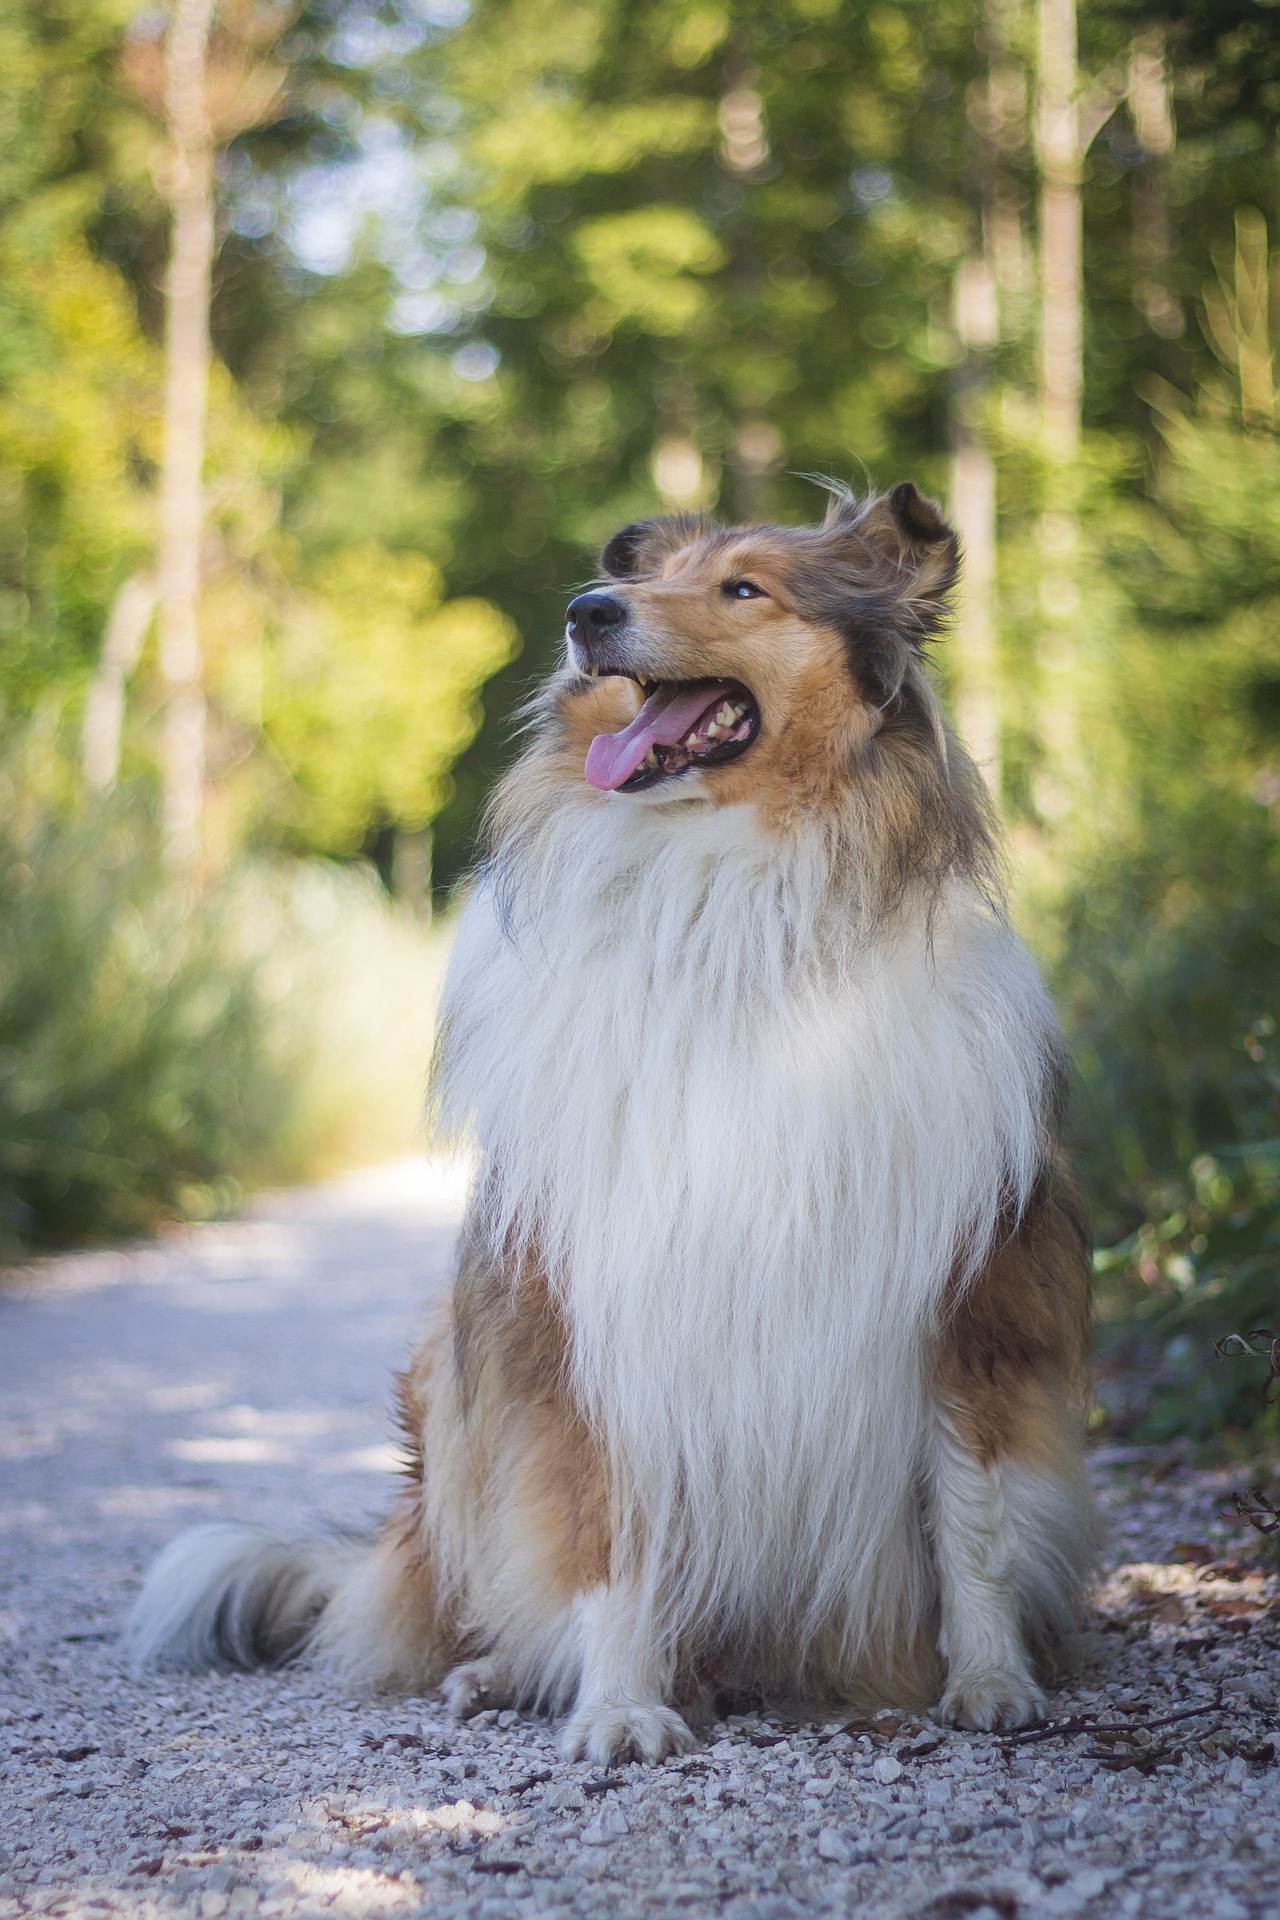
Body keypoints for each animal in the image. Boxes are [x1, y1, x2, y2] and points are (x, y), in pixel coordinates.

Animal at [130, 480, 1105, 1758]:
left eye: (743, 587)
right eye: (644, 579)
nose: (587, 611)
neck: (729, 915)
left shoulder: (970, 1297)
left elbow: (974, 1515)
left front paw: (990, 1682)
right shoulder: (589, 1303)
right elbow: (604, 1529)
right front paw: (617, 1707)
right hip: (454, 1377)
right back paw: (500, 1671)